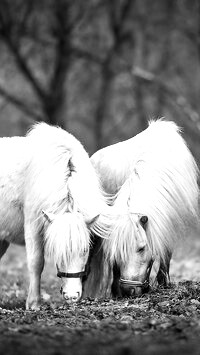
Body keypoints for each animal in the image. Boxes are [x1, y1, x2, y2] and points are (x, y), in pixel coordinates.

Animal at [0, 124, 109, 310]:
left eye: (84, 250)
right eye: (58, 250)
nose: (72, 296)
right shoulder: (33, 226)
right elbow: (36, 263)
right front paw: (34, 303)